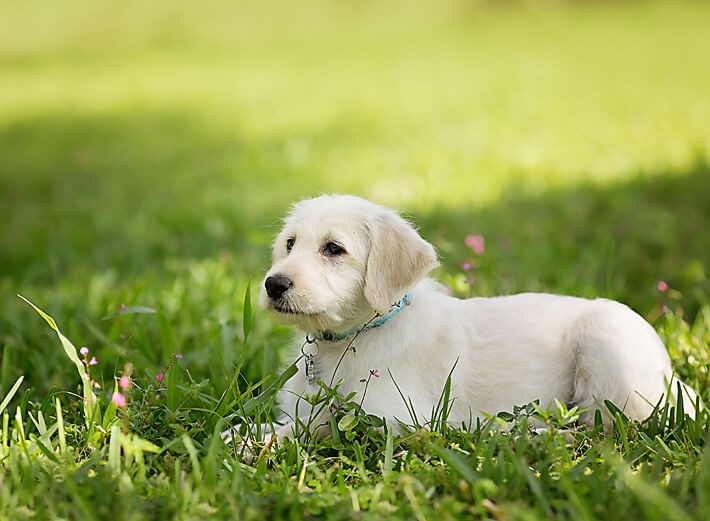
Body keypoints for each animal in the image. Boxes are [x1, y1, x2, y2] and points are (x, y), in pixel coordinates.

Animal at [243, 194, 696, 442]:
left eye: (333, 249)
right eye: (290, 244)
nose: (273, 284)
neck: (351, 338)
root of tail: (676, 381)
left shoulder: (391, 418)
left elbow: (314, 428)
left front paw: (246, 445)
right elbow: (280, 423)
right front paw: (241, 435)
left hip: (607, 354)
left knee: (609, 427)